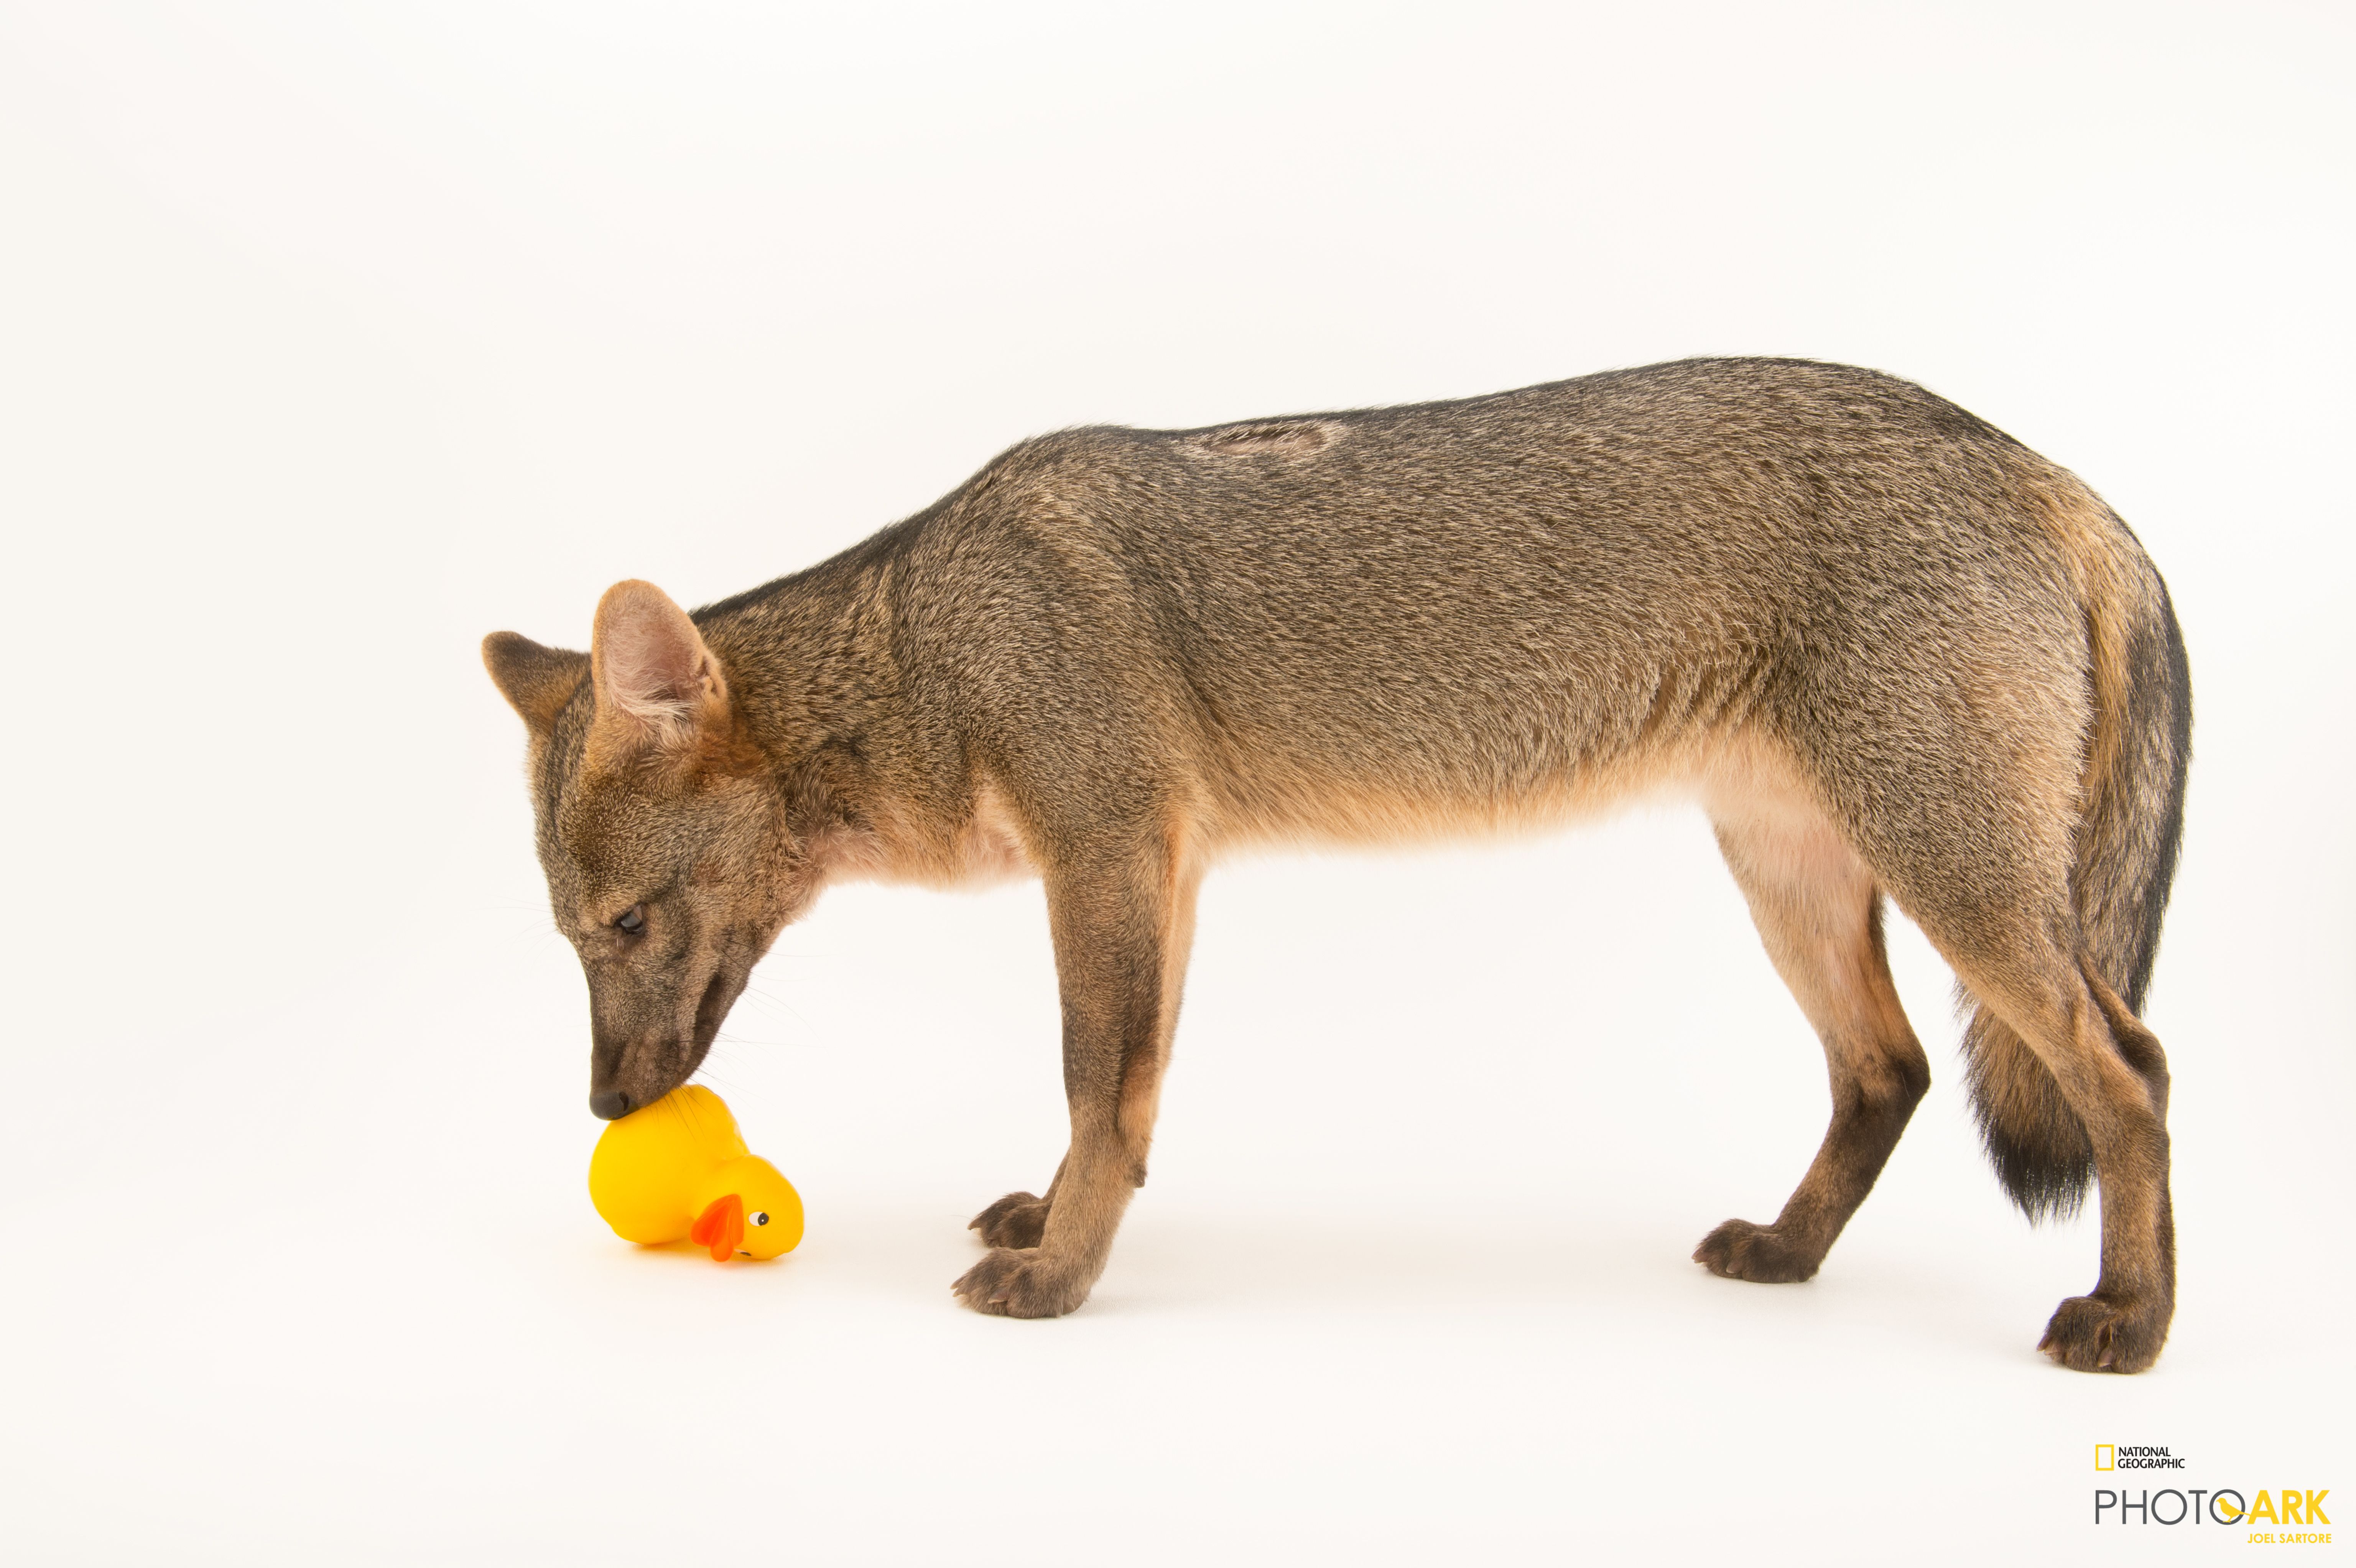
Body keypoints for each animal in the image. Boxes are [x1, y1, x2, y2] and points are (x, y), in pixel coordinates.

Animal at [483, 357, 2190, 1370]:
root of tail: (2043, 466)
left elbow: (1095, 1080)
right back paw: (1789, 1249)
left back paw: (2135, 1315)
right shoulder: (1157, 871)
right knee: (1888, 1068)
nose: (608, 1107)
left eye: (626, 922)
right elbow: (1127, 1101)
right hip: (1799, 880)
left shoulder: (1105, 851)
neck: (935, 638)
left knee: (2132, 1070)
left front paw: (1060, 1277)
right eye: (570, 937)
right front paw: (1059, 1224)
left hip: (1959, 883)